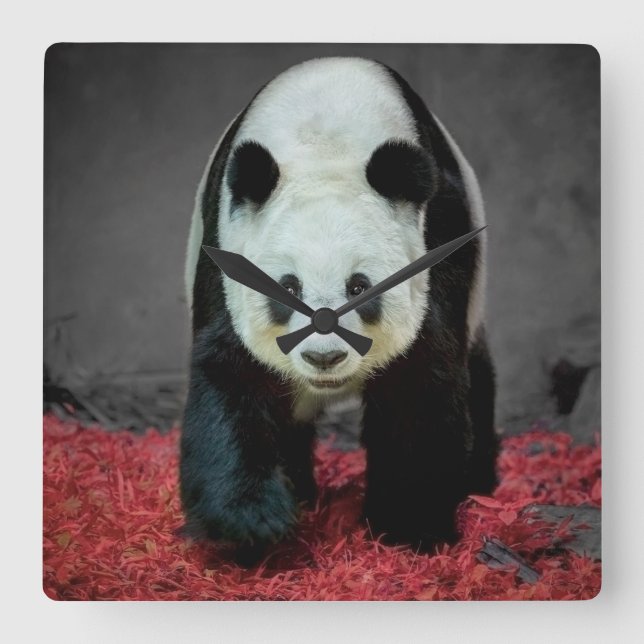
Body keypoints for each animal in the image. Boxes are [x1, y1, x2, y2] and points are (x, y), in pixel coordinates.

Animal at [181, 57, 497, 554]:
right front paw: (252, 520)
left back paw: (479, 480)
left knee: (476, 373)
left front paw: (411, 525)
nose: (323, 357)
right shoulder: (225, 249)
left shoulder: (438, 240)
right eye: (288, 288)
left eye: (358, 287)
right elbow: (232, 374)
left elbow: (422, 377)